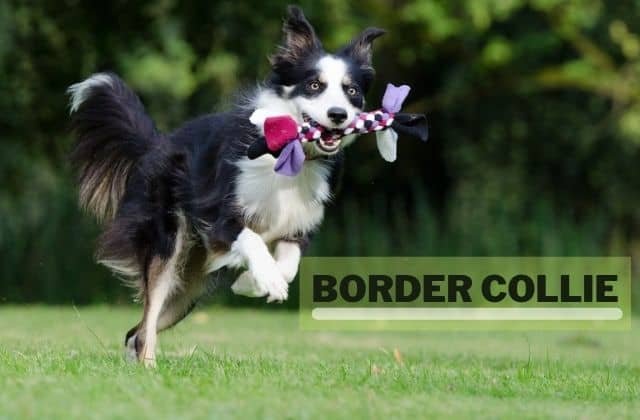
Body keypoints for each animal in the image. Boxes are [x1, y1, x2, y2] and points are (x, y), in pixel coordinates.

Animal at [67, 5, 382, 368]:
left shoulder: (299, 225)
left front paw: (252, 283)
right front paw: (267, 279)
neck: (292, 154)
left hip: (189, 287)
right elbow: (252, 239)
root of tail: (157, 144)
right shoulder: (217, 215)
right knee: (147, 321)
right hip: (168, 244)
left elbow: (288, 265)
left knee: (137, 331)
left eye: (352, 90)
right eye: (315, 84)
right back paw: (149, 367)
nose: (338, 114)